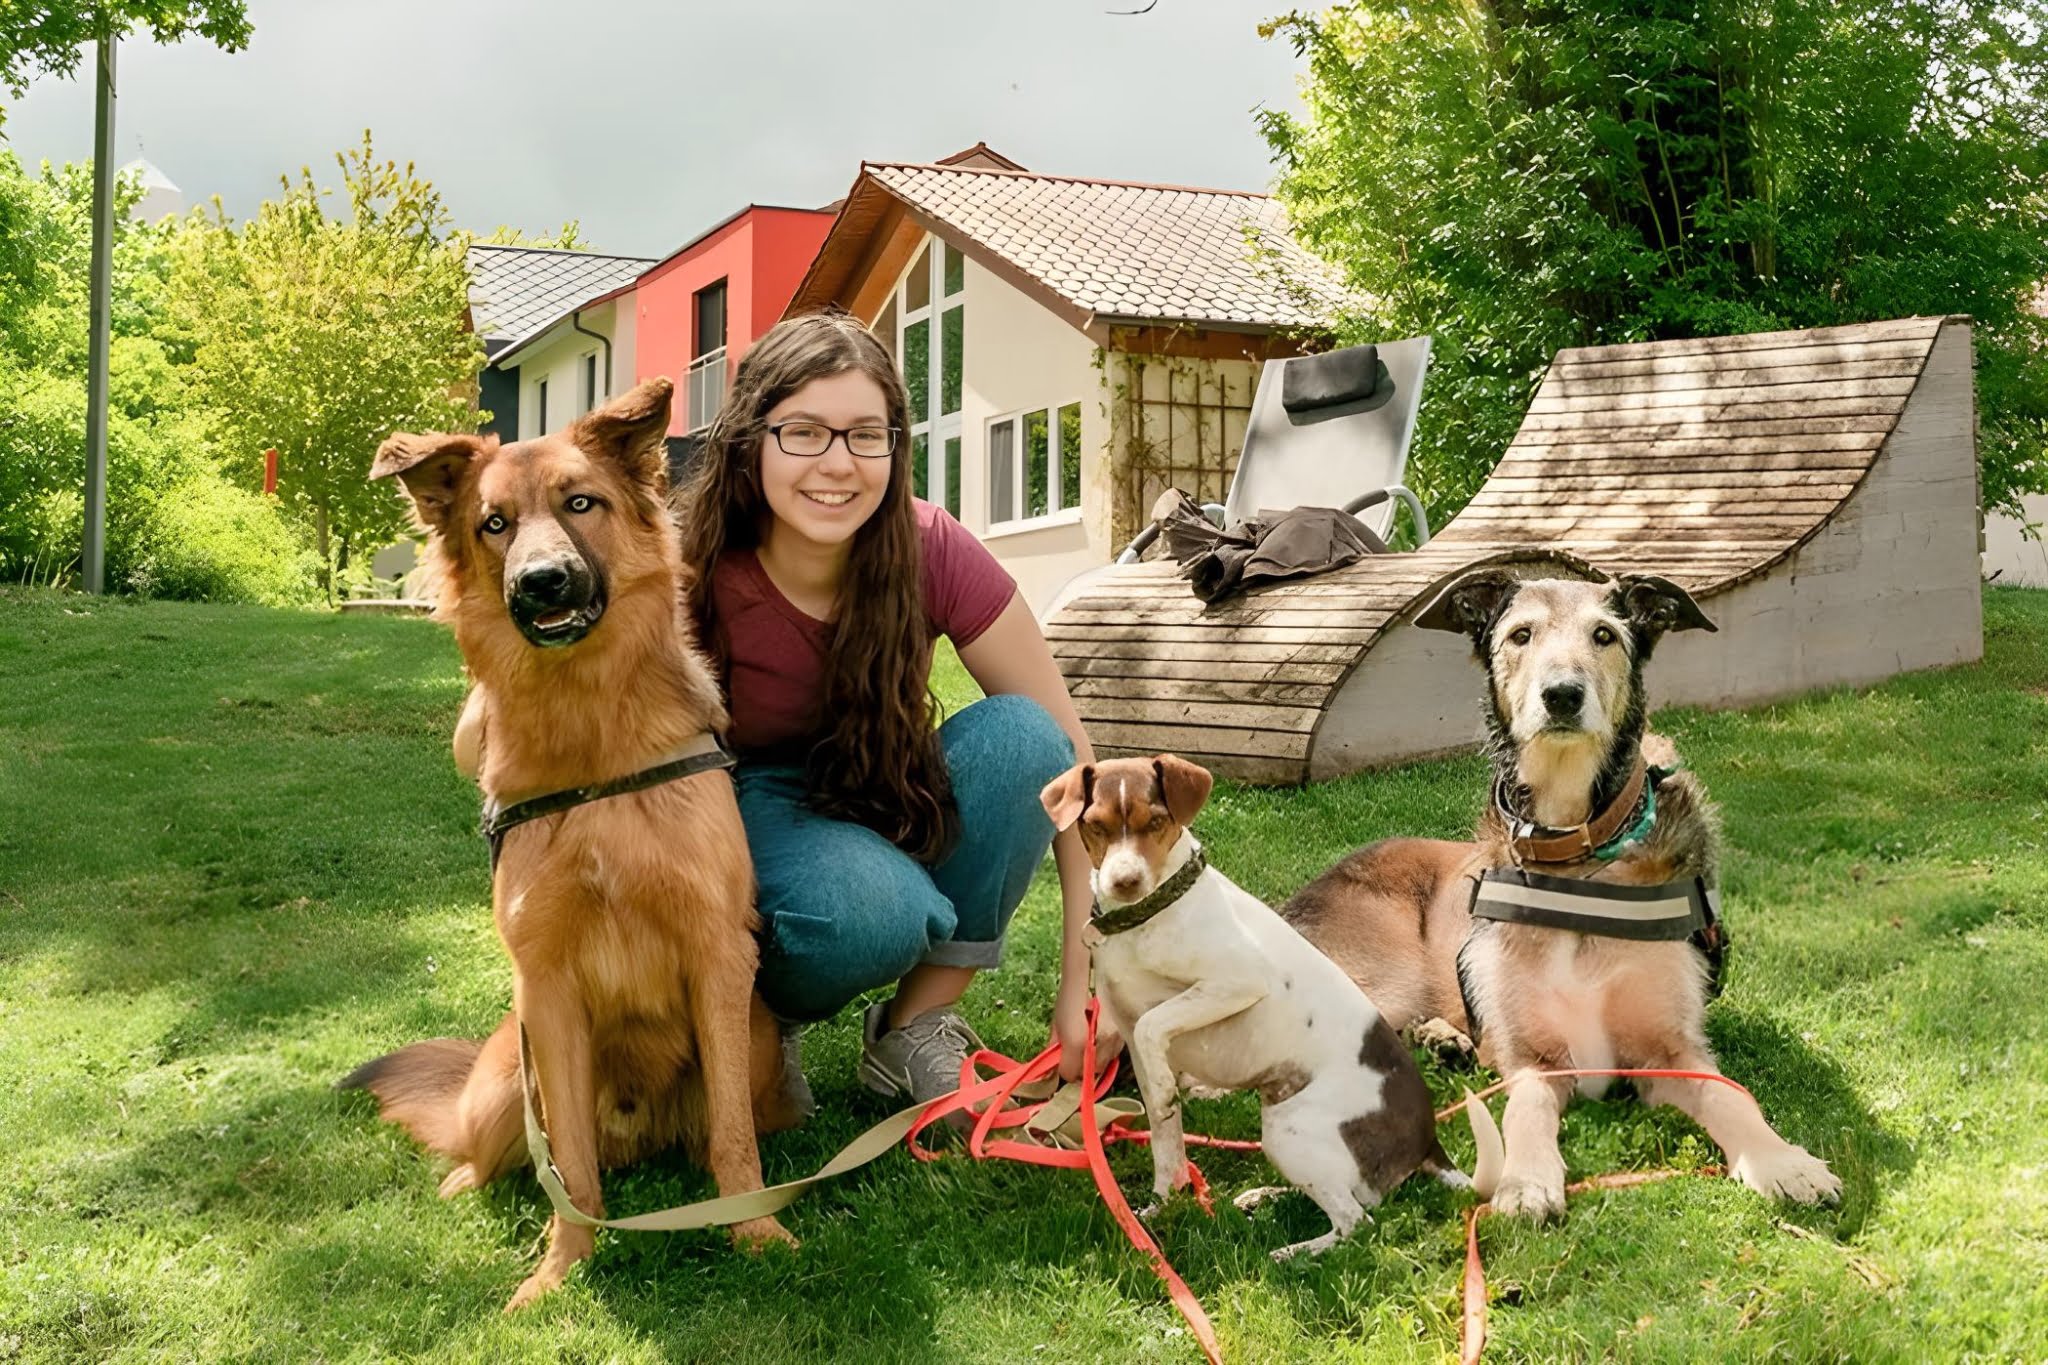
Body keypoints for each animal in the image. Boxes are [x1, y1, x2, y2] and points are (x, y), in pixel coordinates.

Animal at [339, 376, 794, 1309]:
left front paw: (756, 1231)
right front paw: (561, 1269)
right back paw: (465, 1181)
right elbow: (571, 1168)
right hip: (506, 1073)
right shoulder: (543, 988)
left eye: (581, 503)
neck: (591, 741)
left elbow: (732, 1137)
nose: (542, 582)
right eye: (494, 523)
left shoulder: (718, 957)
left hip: (760, 1037)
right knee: (496, 1153)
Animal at [1040, 757, 1458, 1260]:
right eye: (1096, 825)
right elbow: (1166, 1142)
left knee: (1355, 1222)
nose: (1124, 881)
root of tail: (1429, 1139)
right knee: (1347, 1197)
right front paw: (1163, 1204)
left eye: (1156, 822)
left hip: (1289, 1129)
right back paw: (1265, 1200)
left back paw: (1292, 1254)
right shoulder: (1134, 1044)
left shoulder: (1236, 982)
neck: (1147, 919)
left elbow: (1153, 1024)